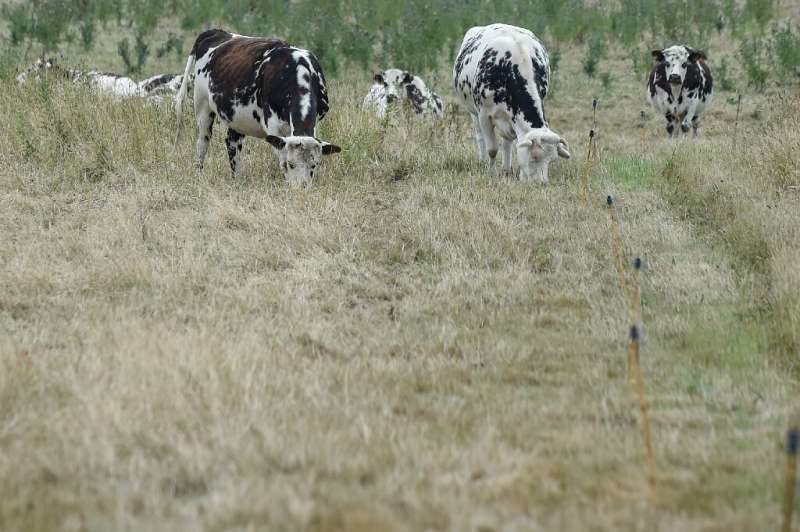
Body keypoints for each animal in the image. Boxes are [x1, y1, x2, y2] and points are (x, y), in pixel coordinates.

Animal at [175, 30, 340, 187]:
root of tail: (217, 32)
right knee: (202, 142)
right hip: (202, 105)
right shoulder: (273, 126)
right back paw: (199, 174)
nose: (301, 188)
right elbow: (281, 158)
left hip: (236, 116)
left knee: (232, 143)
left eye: (314, 165)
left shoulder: (317, 123)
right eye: (290, 164)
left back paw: (237, 179)